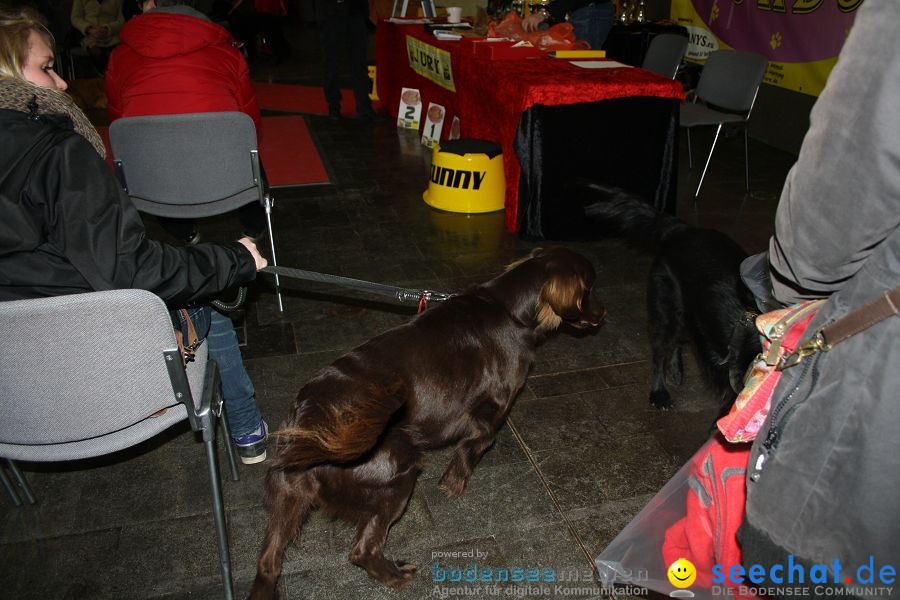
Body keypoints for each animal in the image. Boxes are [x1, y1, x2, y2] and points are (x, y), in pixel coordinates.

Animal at [250, 246, 608, 596]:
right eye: (589, 288)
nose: (603, 314)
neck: (510, 311)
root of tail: (310, 421)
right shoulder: (492, 411)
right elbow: (476, 445)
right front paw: (454, 482)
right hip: (397, 474)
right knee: (362, 550)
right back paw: (395, 576)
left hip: (290, 500)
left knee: (268, 563)